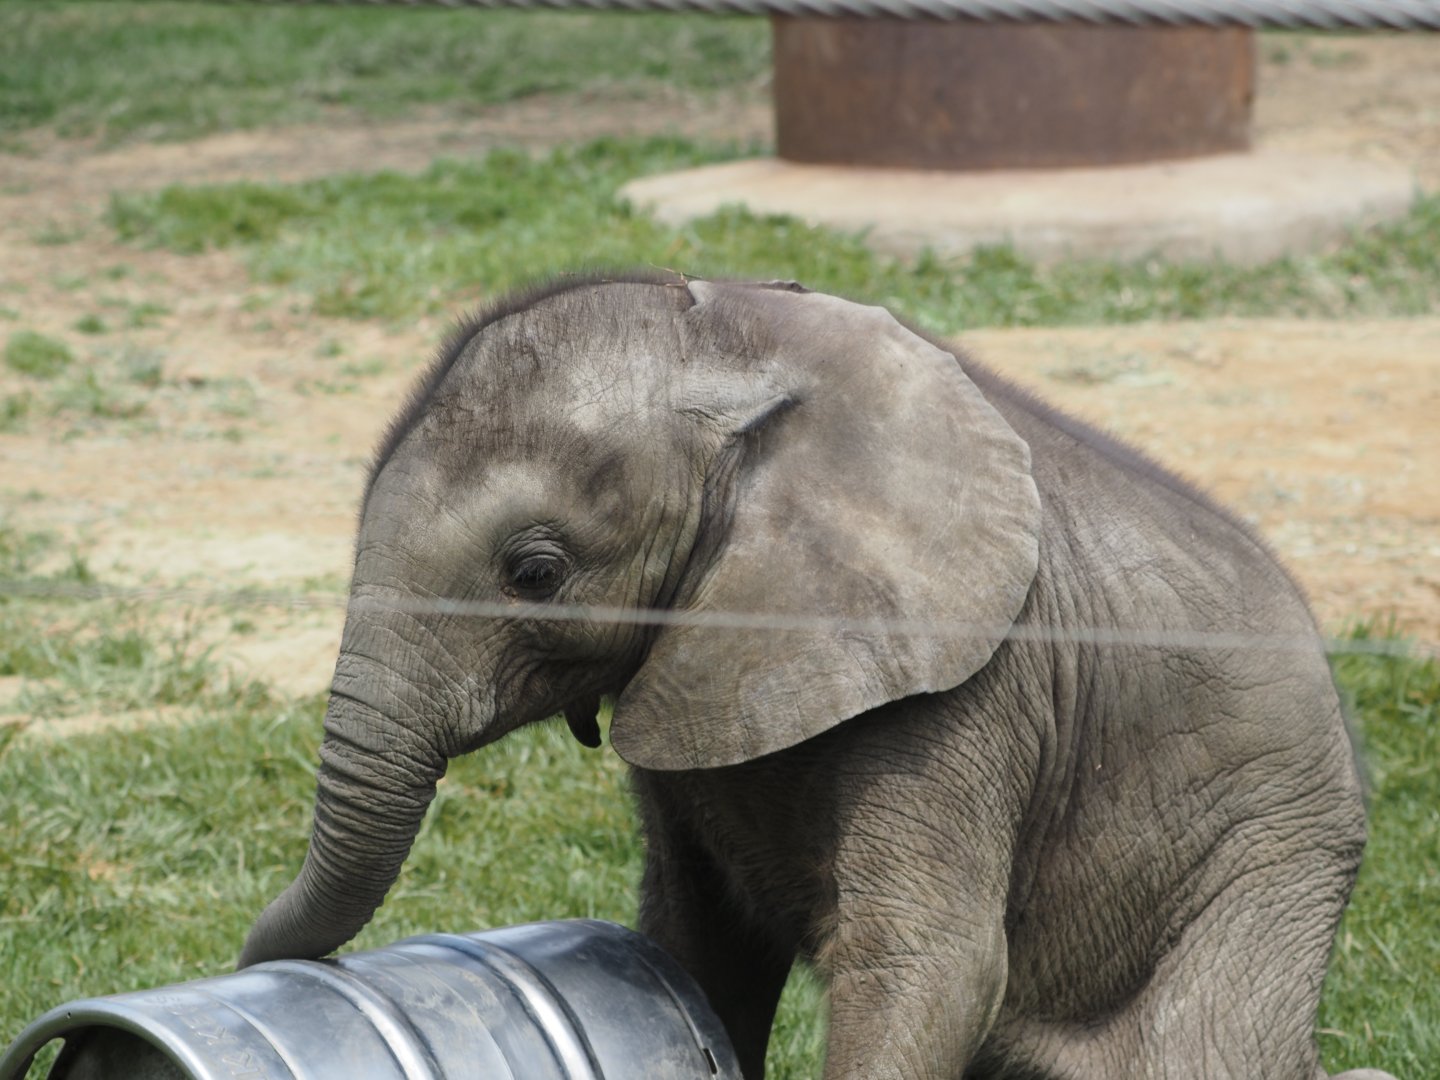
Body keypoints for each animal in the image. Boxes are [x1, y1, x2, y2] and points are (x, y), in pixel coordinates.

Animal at [239, 273, 1393, 1080]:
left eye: (535, 573)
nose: (255, 968)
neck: (742, 349)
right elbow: (698, 946)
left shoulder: (971, 686)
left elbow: (928, 962)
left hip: (1265, 866)